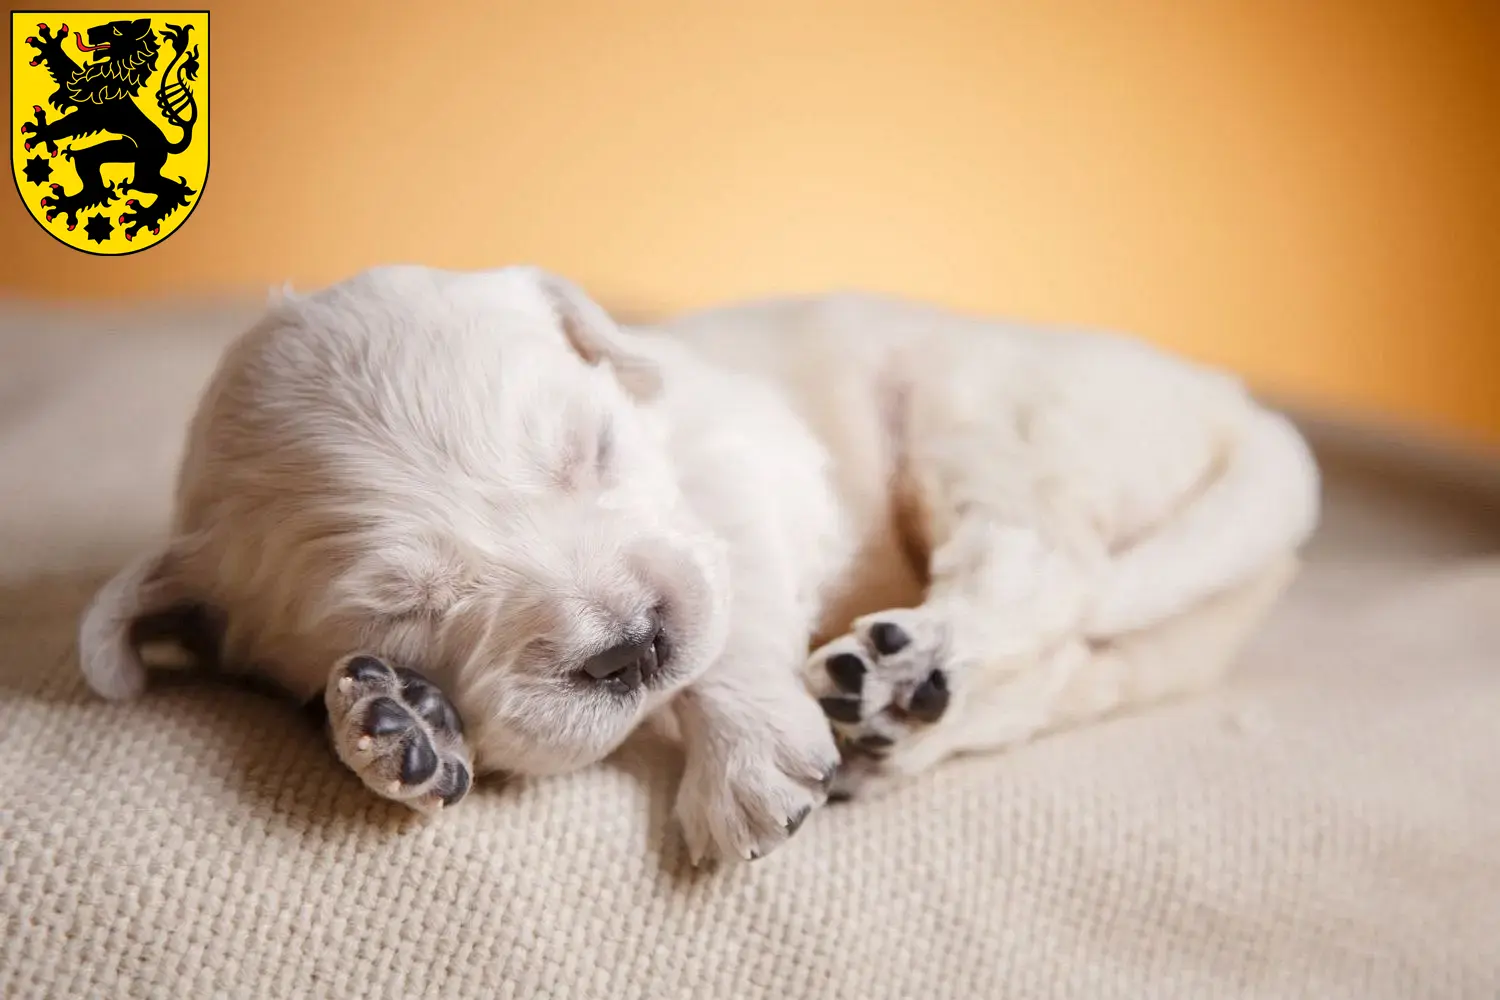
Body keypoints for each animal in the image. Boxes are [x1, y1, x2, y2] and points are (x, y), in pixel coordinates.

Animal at [76, 263, 1320, 863]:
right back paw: (897, 719)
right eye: (405, 614)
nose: (630, 646)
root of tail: (1243, 411)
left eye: (590, 450)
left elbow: (732, 614)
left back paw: (890, 667)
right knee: (1063, 661)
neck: (651, 409)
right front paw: (394, 724)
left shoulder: (738, 474)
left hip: (988, 414)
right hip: (1144, 637)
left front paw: (744, 759)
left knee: (1038, 565)